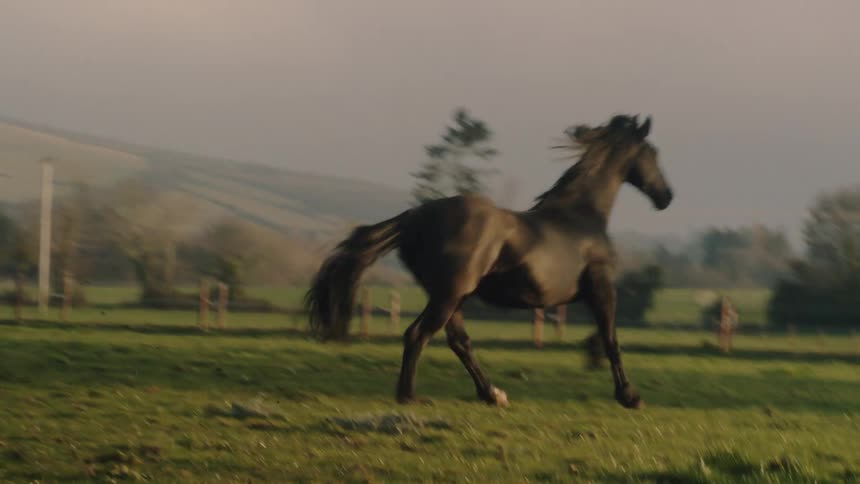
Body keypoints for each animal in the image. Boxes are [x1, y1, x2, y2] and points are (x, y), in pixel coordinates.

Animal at [305, 114, 673, 409]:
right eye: (652, 153)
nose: (666, 197)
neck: (582, 217)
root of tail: (415, 217)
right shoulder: (601, 286)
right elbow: (611, 340)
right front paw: (630, 396)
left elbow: (602, 337)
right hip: (450, 294)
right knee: (418, 334)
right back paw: (410, 396)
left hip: (452, 296)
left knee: (458, 341)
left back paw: (491, 394)